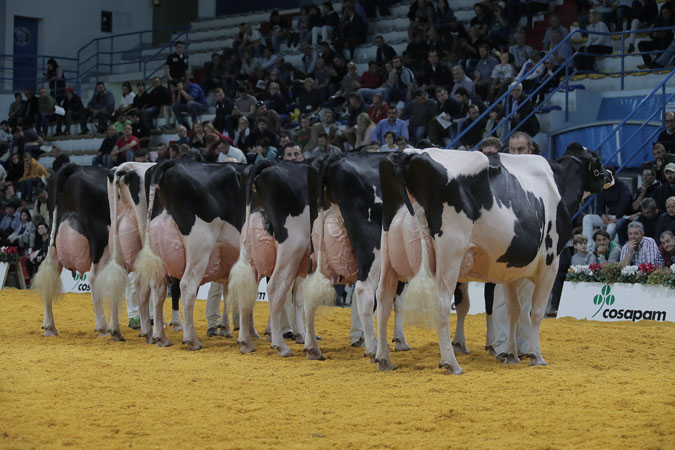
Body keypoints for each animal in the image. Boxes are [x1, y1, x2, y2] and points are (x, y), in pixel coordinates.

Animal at [33, 164, 122, 339]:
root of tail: (74, 168)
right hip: (101, 243)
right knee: (95, 277)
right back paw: (102, 327)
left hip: (53, 243)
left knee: (49, 274)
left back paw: (49, 327)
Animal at [134, 160, 247, 350]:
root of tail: (170, 163)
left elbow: (228, 291)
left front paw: (226, 328)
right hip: (200, 248)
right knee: (187, 285)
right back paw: (191, 339)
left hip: (158, 254)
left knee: (156, 289)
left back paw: (159, 337)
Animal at [229, 160, 310, 357]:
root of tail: (266, 163)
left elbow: (296, 296)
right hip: (293, 246)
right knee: (275, 288)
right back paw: (281, 346)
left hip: (251, 249)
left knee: (247, 289)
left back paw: (246, 342)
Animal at [300, 152, 414, 361]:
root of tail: (335, 157)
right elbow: (398, 298)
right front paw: (400, 341)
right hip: (373, 248)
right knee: (364, 291)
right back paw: (372, 348)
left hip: (315, 246)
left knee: (309, 291)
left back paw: (312, 348)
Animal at [375, 143, 608, 374]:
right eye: (598, 161)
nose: (610, 174)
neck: (557, 183)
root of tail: (410, 154)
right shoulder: (551, 262)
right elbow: (535, 311)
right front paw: (536, 356)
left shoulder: (511, 268)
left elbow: (513, 311)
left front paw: (511, 354)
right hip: (450, 253)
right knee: (440, 303)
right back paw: (451, 363)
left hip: (388, 251)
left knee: (384, 298)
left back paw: (384, 358)